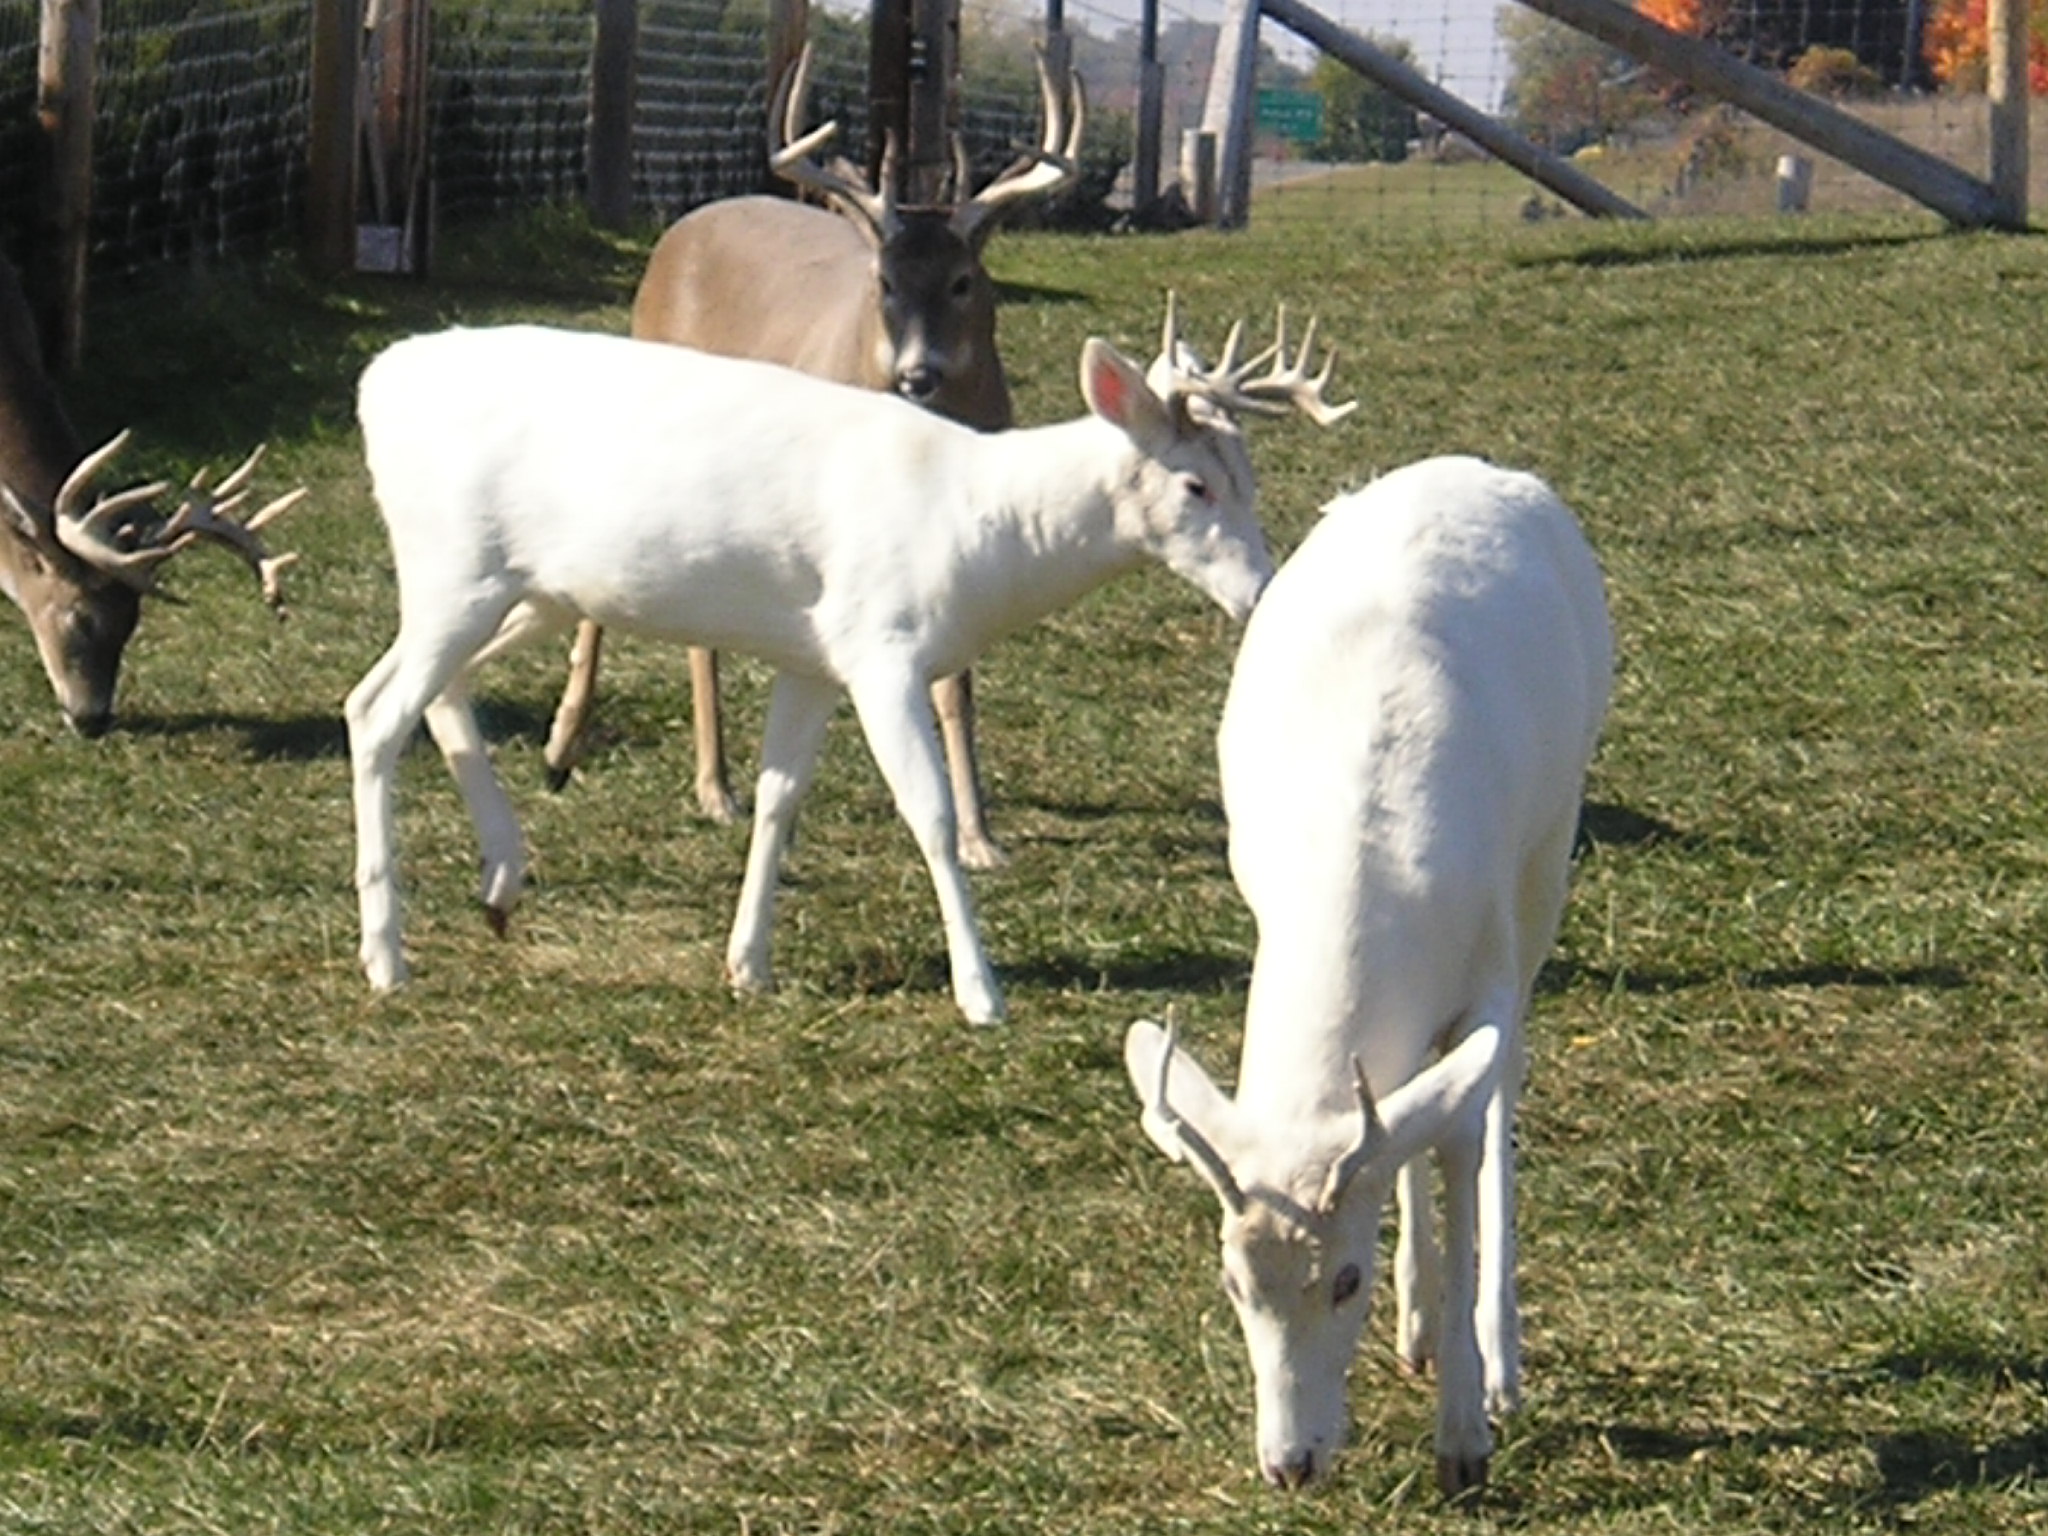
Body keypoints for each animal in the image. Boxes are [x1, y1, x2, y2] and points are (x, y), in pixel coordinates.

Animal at [346, 301, 1351, 1024]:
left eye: (1252, 475)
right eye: (1195, 483)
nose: (1262, 590)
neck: (985, 534)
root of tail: (374, 385)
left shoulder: (815, 658)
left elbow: (779, 801)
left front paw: (748, 963)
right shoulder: (883, 644)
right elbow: (931, 814)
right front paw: (981, 992)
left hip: (531, 590)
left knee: (436, 693)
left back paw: (501, 884)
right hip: (454, 565)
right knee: (374, 709)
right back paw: (387, 954)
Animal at [544, 45, 1089, 876]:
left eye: (964, 281)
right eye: (884, 282)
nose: (919, 374)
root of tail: (680, 231)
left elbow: (955, 686)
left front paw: (977, 832)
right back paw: (597, 754)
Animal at [1122, 454, 1613, 1490]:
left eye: (1345, 1277)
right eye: (1233, 1278)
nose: (1292, 1462)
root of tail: (1477, 465)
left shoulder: (1489, 965)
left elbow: (1467, 1135)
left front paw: (1467, 1436)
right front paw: (1430, 1342)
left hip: (1549, 853)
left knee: (1497, 1090)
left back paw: (1497, 1356)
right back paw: (1419, 1328)